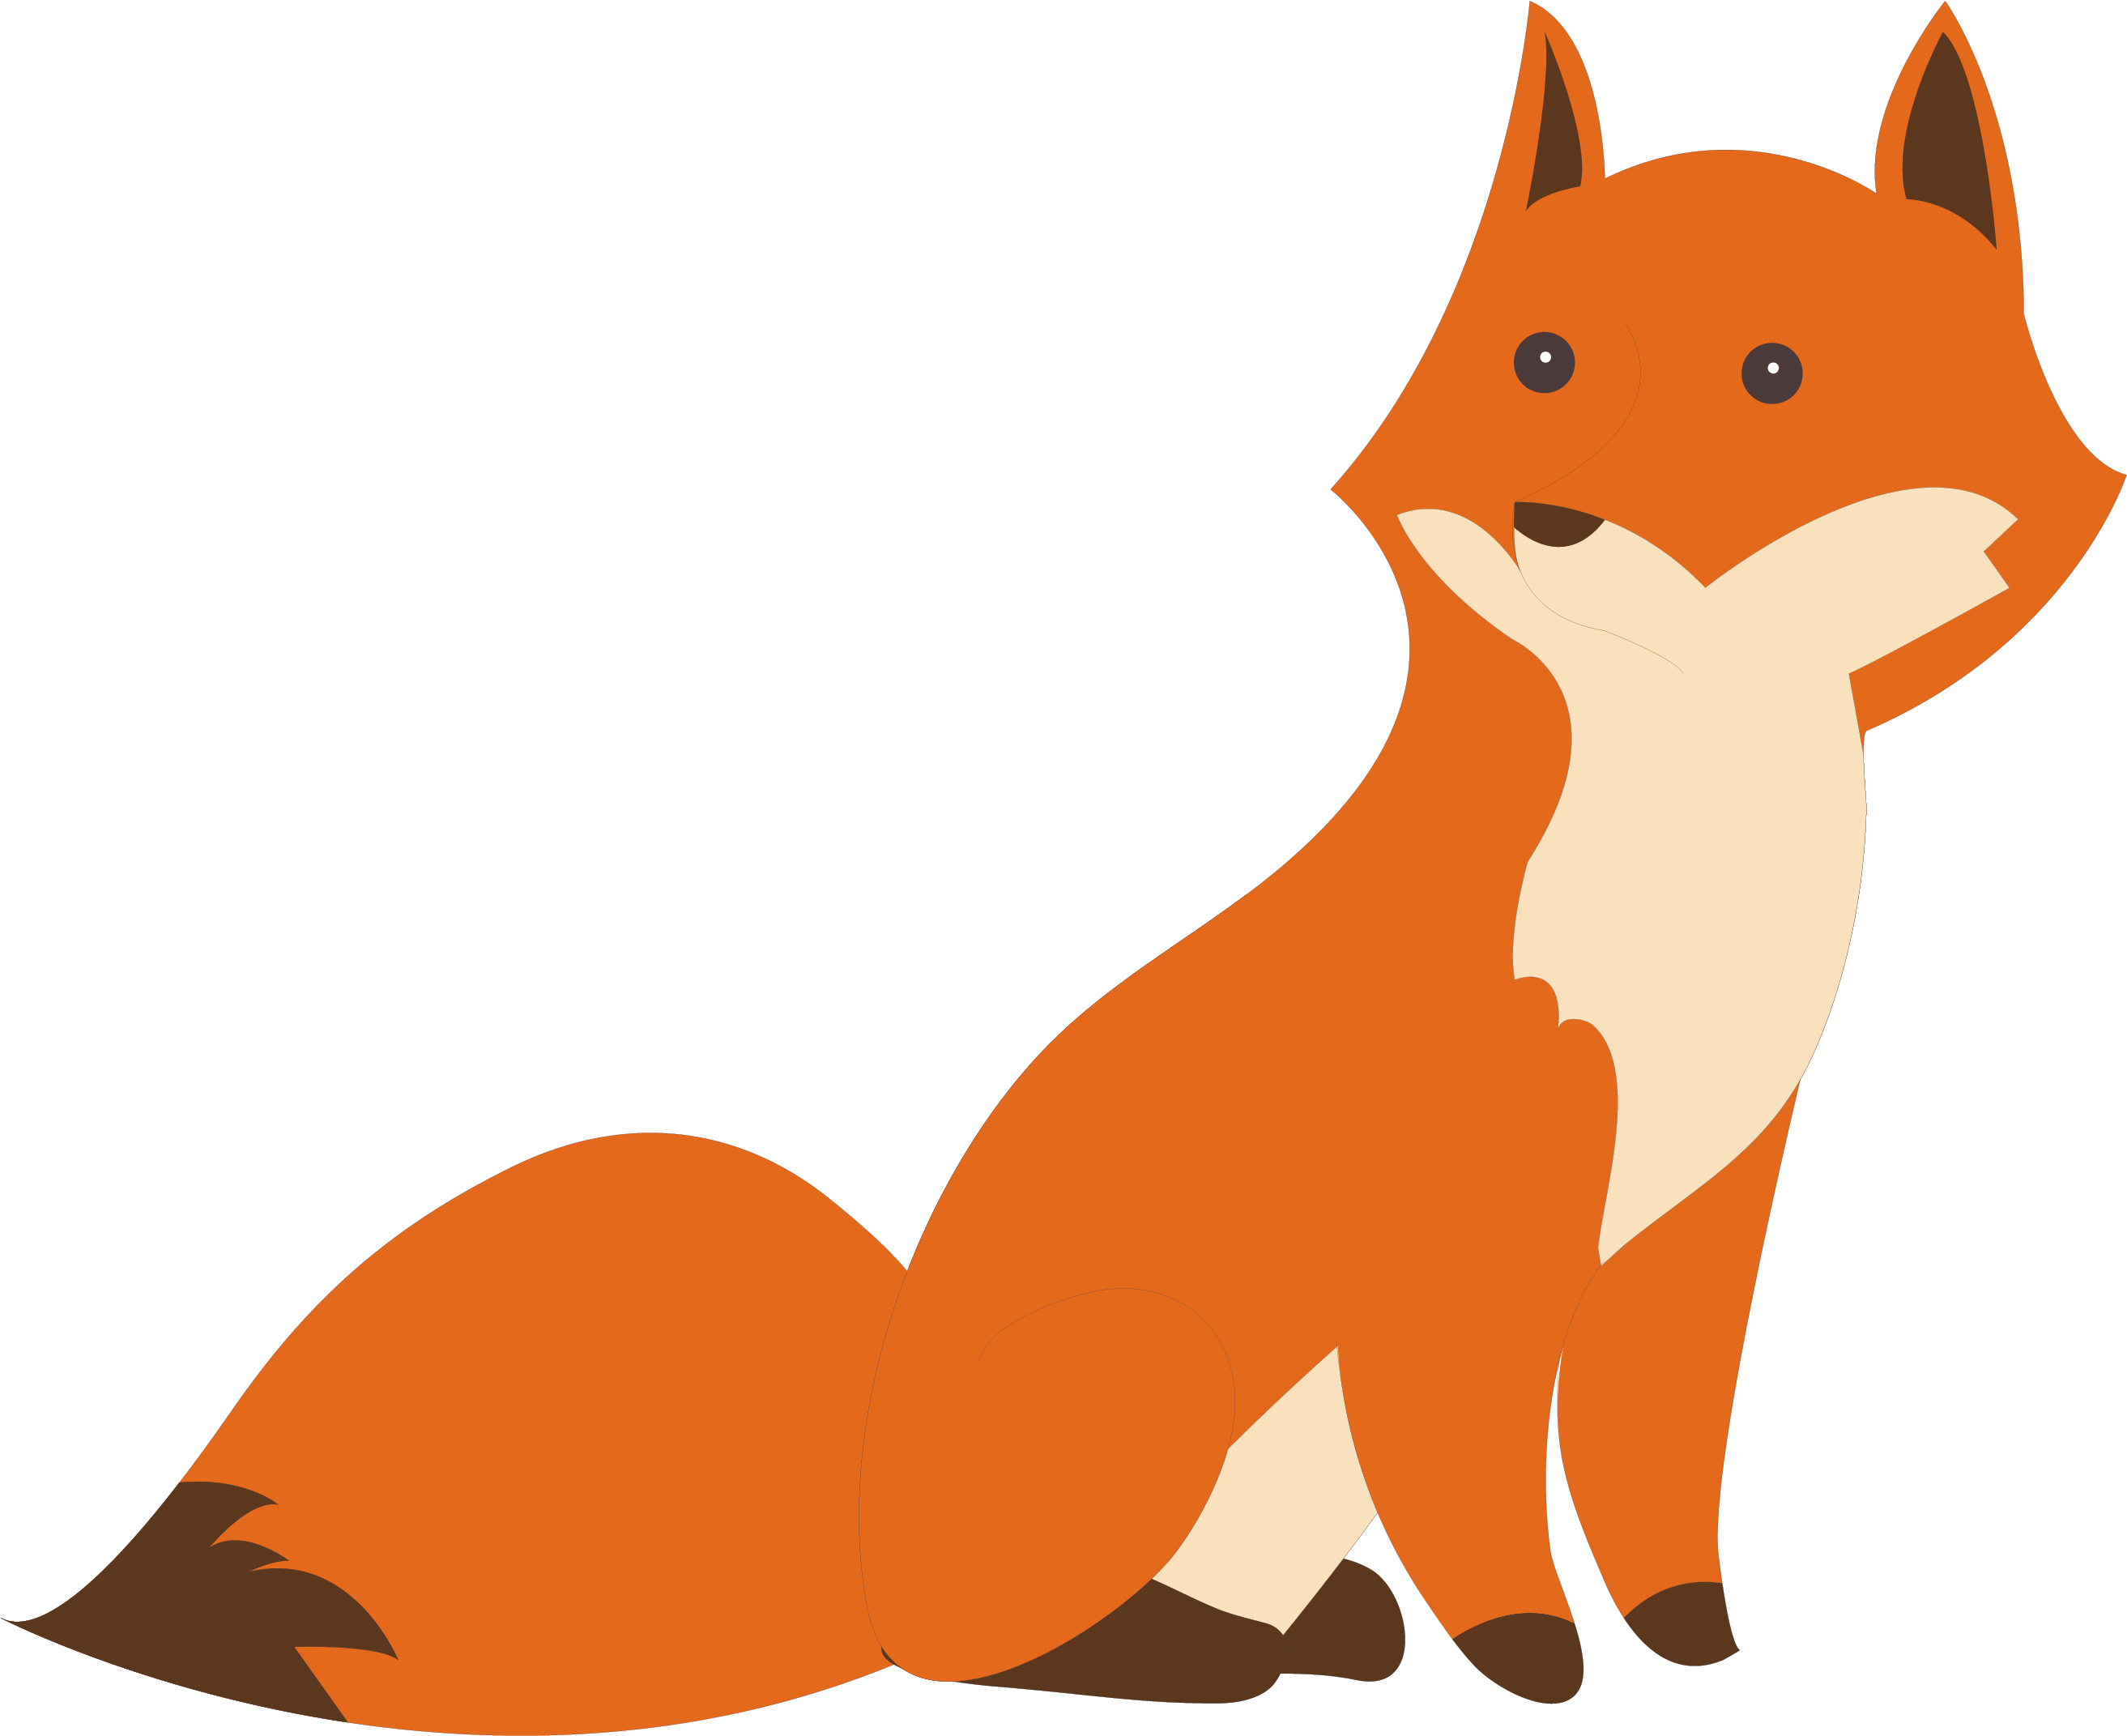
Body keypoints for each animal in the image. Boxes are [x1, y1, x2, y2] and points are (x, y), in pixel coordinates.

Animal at [10, 4, 2117, 1729]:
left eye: (1772, 373)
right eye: (1539, 358)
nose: (1552, 514)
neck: (1685, 855)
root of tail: (868, 1505)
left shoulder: (1701, 1204)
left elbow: (1656, 1475)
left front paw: (1691, 1643)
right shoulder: (1464, 1228)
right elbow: (1479, 1495)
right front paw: (1531, 1660)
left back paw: (1305, 1633)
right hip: (1143, 1389)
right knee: (975, 1653)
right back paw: (1193, 1658)